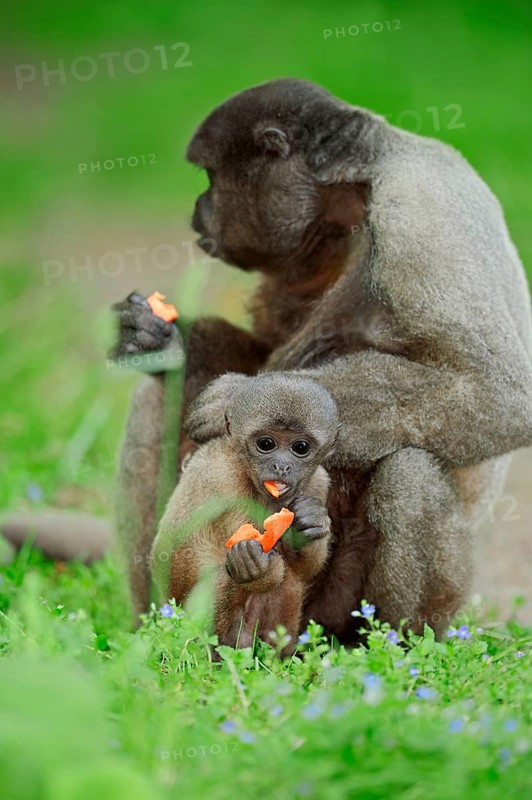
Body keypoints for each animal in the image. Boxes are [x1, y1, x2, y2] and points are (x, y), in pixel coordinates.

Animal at [151, 372, 339, 653]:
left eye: (301, 447)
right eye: (266, 444)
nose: (282, 466)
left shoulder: (318, 482)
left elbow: (305, 569)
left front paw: (312, 520)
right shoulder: (223, 478)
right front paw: (253, 564)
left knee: (290, 580)